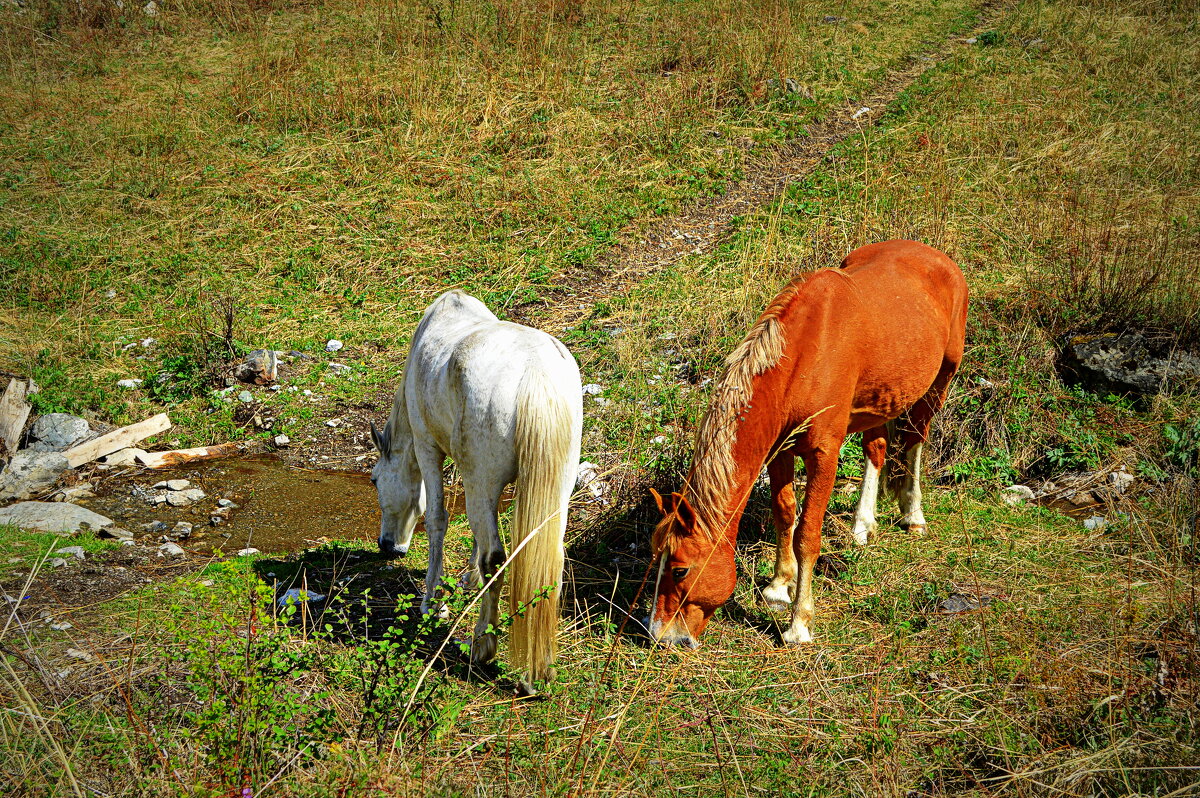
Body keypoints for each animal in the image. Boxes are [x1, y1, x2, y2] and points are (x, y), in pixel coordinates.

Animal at [372, 292, 583, 686]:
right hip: (552, 489)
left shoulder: (427, 446)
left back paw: (482, 646)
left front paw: (432, 601)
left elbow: (437, 519)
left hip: (478, 478)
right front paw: (469, 578)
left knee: (496, 558)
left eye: (374, 480)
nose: (388, 547)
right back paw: (539, 667)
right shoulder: (477, 480)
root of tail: (536, 373)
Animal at [648, 241, 964, 648]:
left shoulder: (822, 454)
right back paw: (862, 525)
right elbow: (784, 514)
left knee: (914, 442)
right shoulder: (779, 451)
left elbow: (807, 535)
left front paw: (799, 623)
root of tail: (938, 258)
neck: (804, 355)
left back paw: (913, 515)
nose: (658, 635)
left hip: (939, 383)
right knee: (876, 450)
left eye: (680, 570)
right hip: (879, 401)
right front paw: (778, 587)